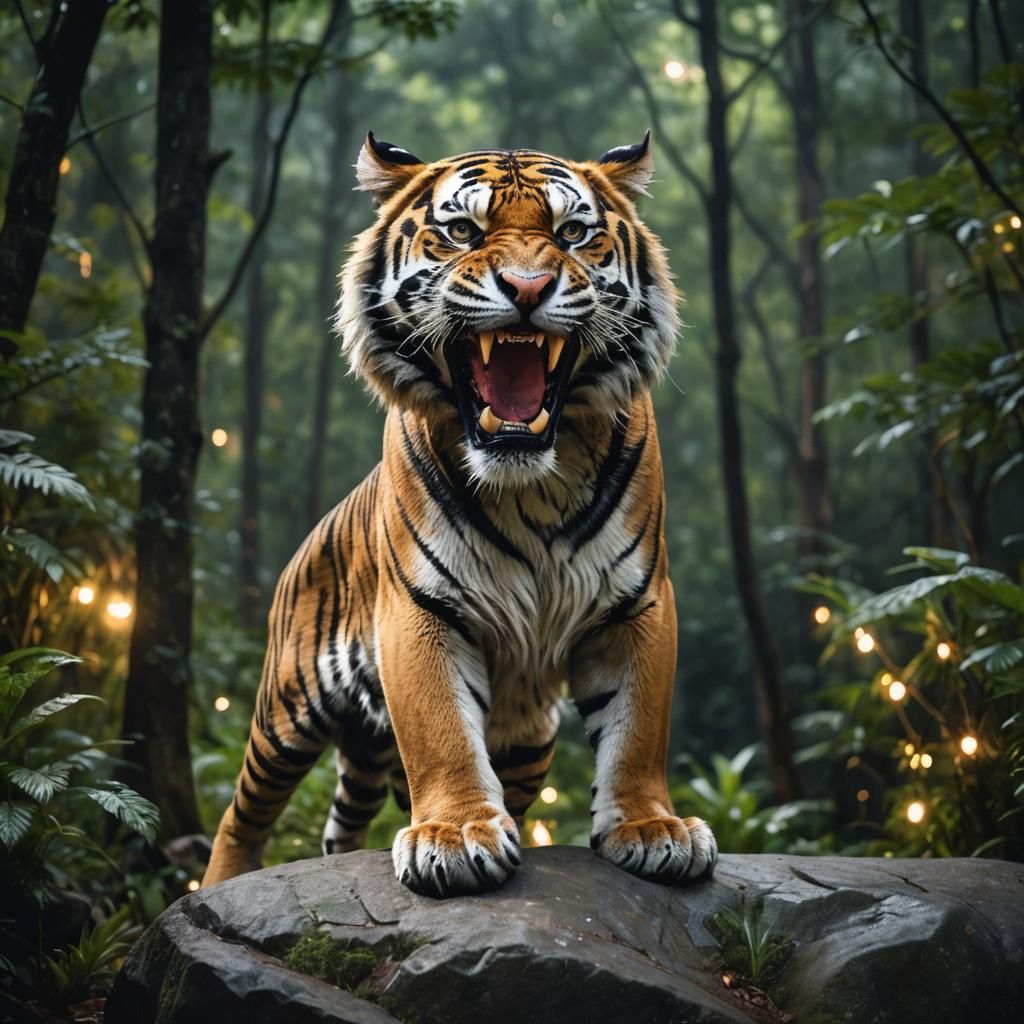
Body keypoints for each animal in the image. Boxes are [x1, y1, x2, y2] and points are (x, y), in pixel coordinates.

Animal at [203, 132, 718, 897]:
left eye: (572, 233)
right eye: (463, 232)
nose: (528, 289)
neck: (532, 482)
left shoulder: (638, 602)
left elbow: (637, 729)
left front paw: (651, 827)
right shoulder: (422, 607)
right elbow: (440, 729)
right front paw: (454, 836)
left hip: (525, 741)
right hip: (285, 712)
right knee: (244, 811)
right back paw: (218, 883)